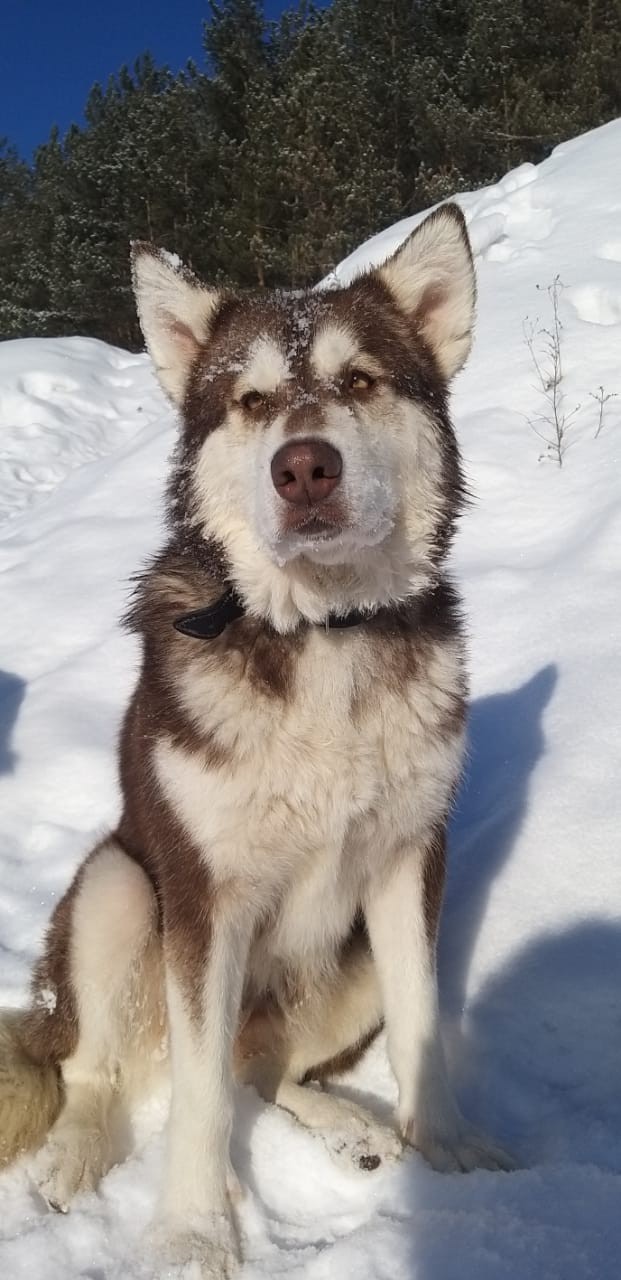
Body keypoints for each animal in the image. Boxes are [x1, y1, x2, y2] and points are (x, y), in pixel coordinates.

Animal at [0, 204, 509, 1274]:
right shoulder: (203, 896)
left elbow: (420, 1026)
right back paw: (77, 1158)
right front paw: (192, 1230)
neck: (320, 634)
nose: (304, 465)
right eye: (252, 400)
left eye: (359, 382)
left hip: (344, 964)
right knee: (104, 1073)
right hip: (117, 890)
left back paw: (349, 1130)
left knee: (258, 1075)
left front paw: (443, 1150)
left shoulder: (409, 862)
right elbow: (195, 1103)